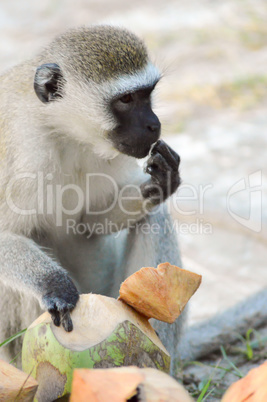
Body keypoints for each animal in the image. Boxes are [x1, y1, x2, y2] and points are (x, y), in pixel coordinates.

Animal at [0, 25, 183, 370]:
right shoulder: (19, 149)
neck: (61, 131)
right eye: (126, 99)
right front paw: (54, 285)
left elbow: (90, 222)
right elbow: (8, 234)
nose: (154, 125)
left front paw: (161, 180)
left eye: (147, 94)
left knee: (154, 216)